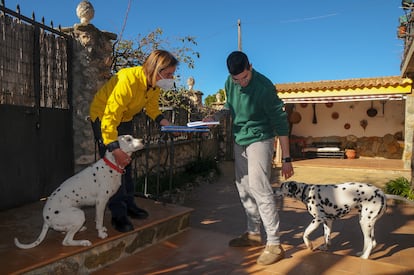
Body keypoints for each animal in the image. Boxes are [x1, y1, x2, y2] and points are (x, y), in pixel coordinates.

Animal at [14, 136, 144, 250]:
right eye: (128, 139)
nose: (143, 140)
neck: (110, 165)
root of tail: (46, 220)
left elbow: (98, 219)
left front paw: (101, 229)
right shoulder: (101, 202)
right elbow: (99, 220)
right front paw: (101, 233)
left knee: (65, 232)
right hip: (79, 214)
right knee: (66, 241)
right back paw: (83, 242)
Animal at [274, 181, 414, 258]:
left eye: (281, 186)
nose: (274, 190)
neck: (307, 191)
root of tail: (383, 194)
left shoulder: (317, 219)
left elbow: (305, 234)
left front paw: (309, 245)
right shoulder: (328, 221)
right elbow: (327, 238)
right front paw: (325, 247)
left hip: (365, 223)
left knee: (370, 243)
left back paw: (364, 257)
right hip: (366, 221)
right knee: (370, 242)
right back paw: (361, 253)